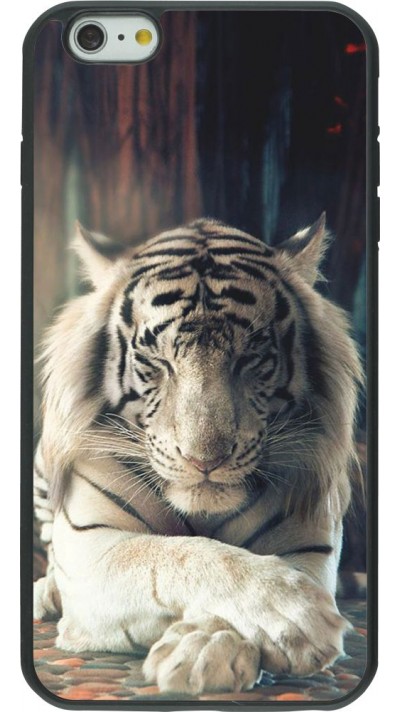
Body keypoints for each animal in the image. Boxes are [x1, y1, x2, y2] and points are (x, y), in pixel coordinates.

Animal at [33, 214, 362, 695]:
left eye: (251, 357)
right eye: (157, 361)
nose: (204, 460)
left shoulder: (309, 544)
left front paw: (205, 649)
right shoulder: (92, 545)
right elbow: (180, 554)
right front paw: (294, 614)